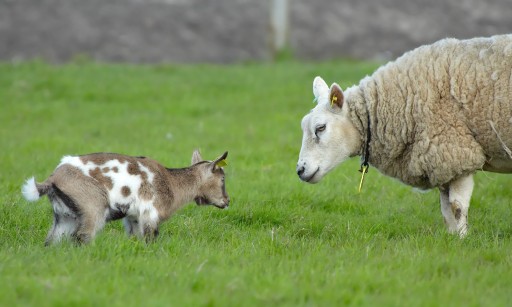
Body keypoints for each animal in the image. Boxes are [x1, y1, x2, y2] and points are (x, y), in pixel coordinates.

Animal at [22, 150, 229, 247]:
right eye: (223, 178)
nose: (227, 201)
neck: (171, 183)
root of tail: (53, 178)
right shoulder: (149, 214)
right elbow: (151, 239)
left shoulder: (134, 218)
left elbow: (135, 239)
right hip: (93, 208)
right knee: (83, 236)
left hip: (65, 217)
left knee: (52, 240)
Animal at [296, 35, 512, 239]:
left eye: (320, 128)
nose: (300, 170)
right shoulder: (441, 161)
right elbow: (446, 211)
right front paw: (452, 238)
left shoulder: (457, 152)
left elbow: (456, 207)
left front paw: (461, 240)